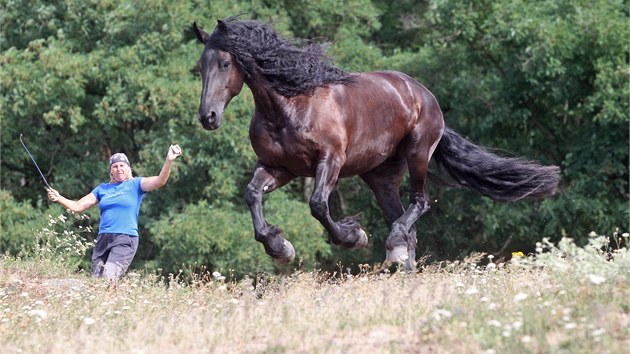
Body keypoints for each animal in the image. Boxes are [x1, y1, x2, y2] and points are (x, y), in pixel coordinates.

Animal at [193, 18, 564, 268]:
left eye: (225, 63)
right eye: (200, 67)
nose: (208, 117)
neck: (290, 104)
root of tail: (423, 93)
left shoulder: (330, 161)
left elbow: (318, 205)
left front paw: (353, 237)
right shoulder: (279, 167)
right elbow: (252, 194)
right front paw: (279, 246)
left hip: (418, 154)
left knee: (419, 203)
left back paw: (394, 245)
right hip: (380, 176)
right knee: (408, 228)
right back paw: (400, 261)